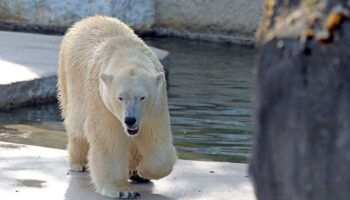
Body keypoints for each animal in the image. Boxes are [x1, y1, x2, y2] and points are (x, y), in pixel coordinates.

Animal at [58, 15, 178, 198]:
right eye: (120, 97)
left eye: (142, 97)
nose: (130, 120)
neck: (126, 51)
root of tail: (86, 20)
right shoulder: (102, 100)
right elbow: (108, 139)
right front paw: (123, 191)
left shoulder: (156, 105)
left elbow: (157, 139)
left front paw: (142, 171)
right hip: (68, 77)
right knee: (76, 125)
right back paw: (79, 162)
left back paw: (135, 172)